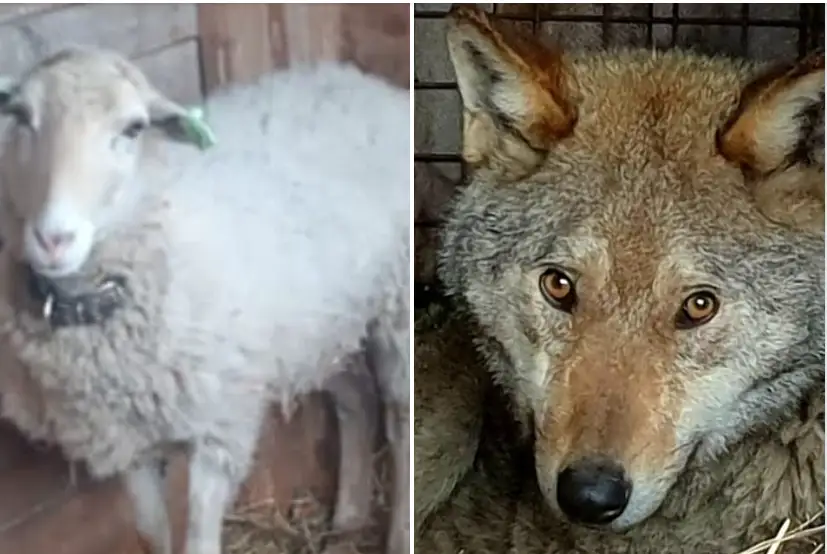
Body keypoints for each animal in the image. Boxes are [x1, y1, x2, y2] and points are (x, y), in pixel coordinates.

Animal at [0, 46, 410, 554]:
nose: (54, 238)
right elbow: (151, 532)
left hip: (396, 309)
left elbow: (197, 538)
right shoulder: (124, 440)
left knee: (402, 420)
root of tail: (371, 86)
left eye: (133, 128)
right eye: (19, 115)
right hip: (319, 326)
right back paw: (348, 518)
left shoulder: (219, 427)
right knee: (357, 398)